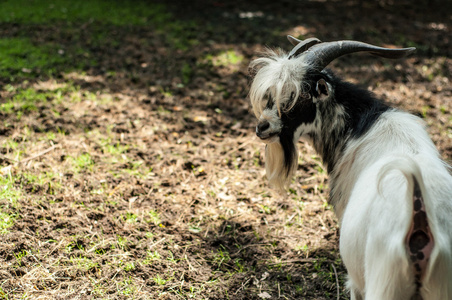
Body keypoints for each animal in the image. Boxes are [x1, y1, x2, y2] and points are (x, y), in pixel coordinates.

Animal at [249, 36, 452, 298]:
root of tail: (420, 218)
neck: (363, 126)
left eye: (299, 96)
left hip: (383, 282)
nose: (262, 127)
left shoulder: (356, 282)